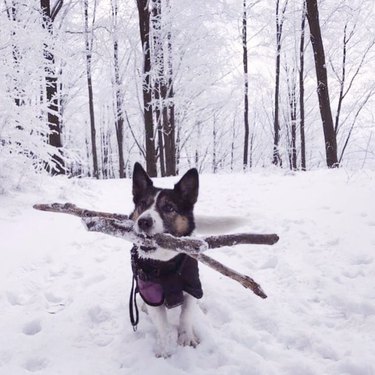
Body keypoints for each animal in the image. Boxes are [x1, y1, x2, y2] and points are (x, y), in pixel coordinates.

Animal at [130, 162, 204, 358]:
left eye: (169, 208)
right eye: (142, 204)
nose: (143, 222)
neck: (165, 264)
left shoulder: (192, 286)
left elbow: (186, 315)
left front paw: (187, 338)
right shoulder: (151, 292)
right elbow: (162, 325)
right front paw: (164, 349)